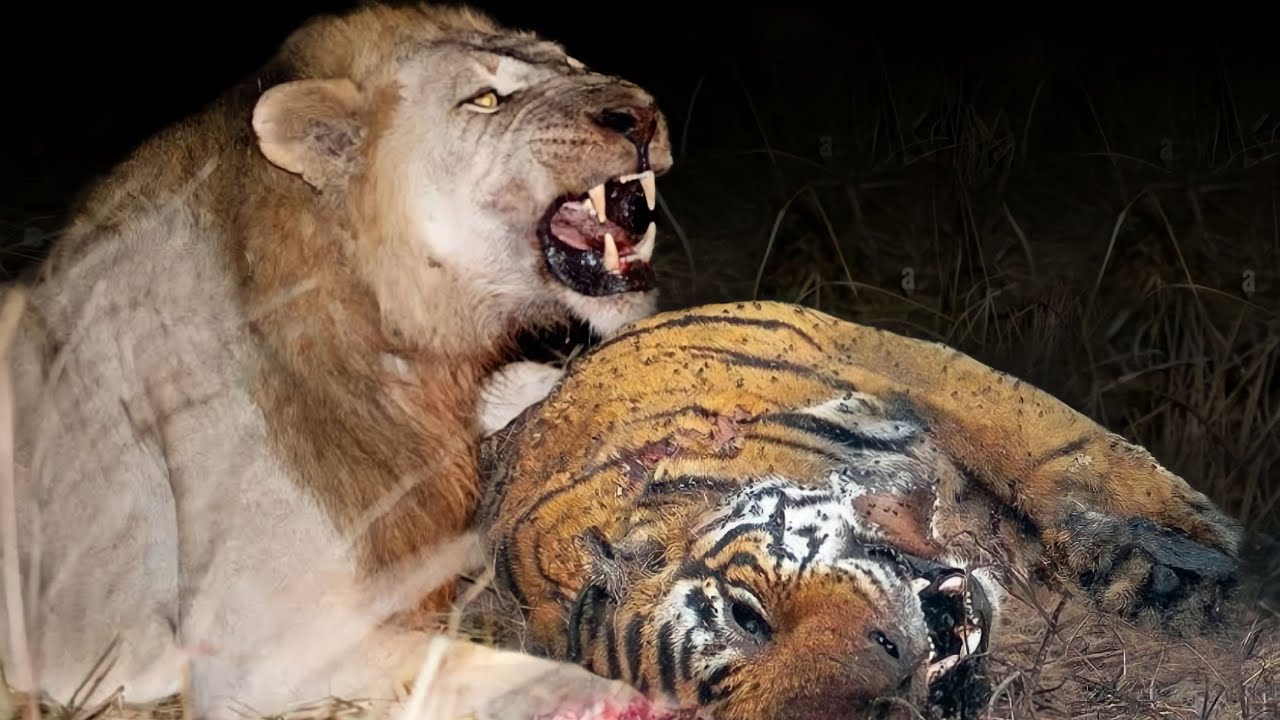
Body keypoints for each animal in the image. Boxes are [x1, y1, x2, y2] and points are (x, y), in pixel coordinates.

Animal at [1, 3, 671, 718]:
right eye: (487, 100)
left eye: (570, 62)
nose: (641, 114)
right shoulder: (256, 649)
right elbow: (462, 660)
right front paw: (607, 693)